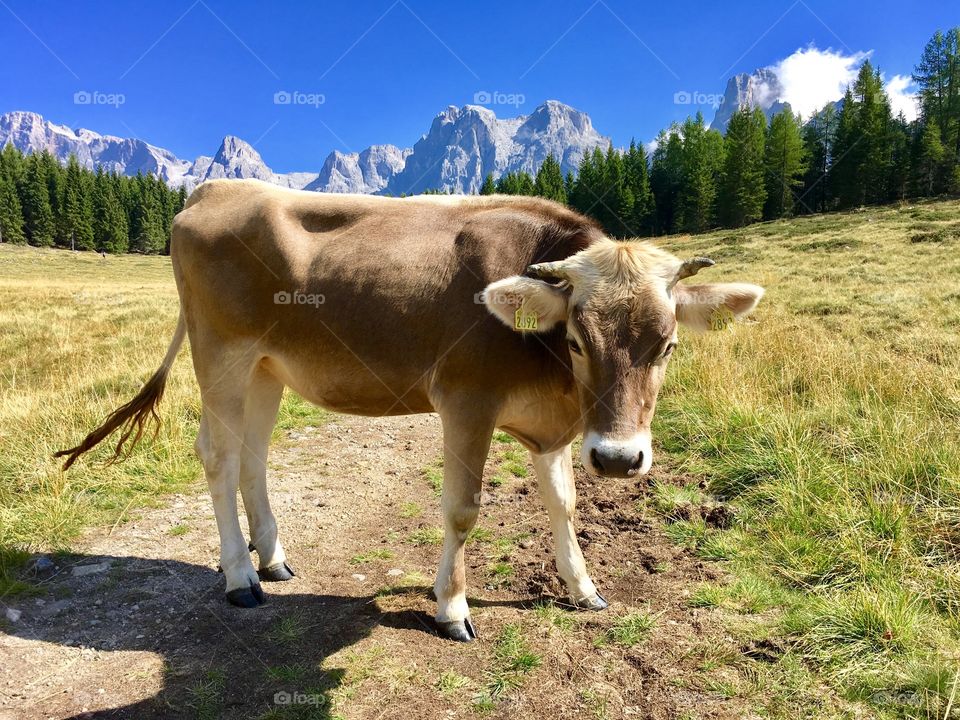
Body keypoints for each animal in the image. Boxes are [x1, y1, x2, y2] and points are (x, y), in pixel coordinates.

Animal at [57, 179, 763, 642]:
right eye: (575, 340)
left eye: (668, 345)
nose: (619, 459)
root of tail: (213, 189)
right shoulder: (466, 402)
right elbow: (462, 509)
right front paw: (451, 608)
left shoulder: (558, 429)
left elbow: (564, 505)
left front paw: (582, 588)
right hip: (222, 355)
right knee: (219, 456)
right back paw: (239, 577)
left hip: (266, 368)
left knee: (253, 456)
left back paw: (273, 558)